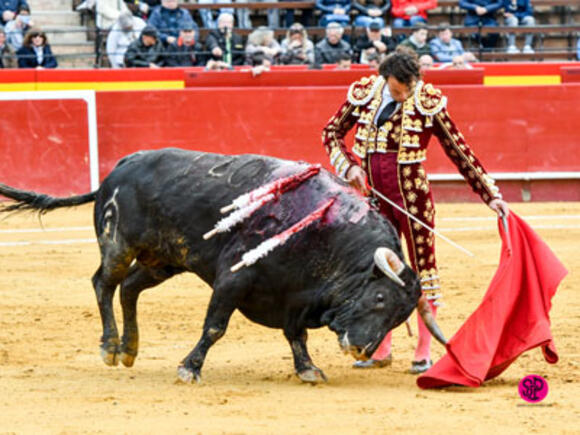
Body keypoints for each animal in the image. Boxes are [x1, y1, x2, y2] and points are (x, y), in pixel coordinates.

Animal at [0, 150, 444, 384]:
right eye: (380, 297)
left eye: (399, 316)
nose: (361, 347)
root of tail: (121, 165)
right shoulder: (233, 278)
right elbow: (215, 327)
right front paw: (188, 368)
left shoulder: (294, 297)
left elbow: (296, 336)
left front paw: (308, 369)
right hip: (118, 244)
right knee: (104, 284)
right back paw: (110, 347)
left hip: (163, 261)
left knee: (129, 288)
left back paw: (129, 349)